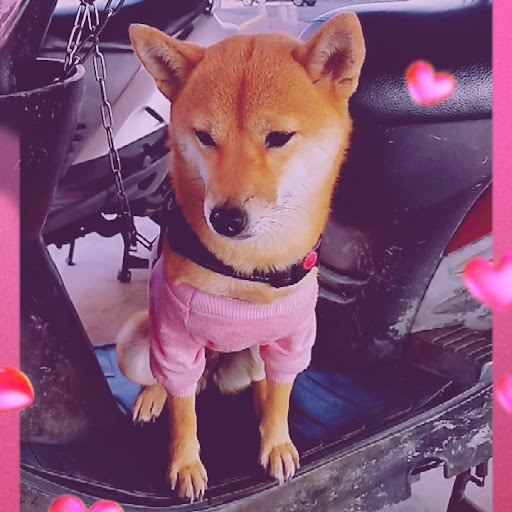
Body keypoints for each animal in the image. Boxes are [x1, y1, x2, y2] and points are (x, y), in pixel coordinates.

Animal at [116, 14, 365, 503]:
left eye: (279, 138)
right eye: (205, 137)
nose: (226, 218)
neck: (248, 269)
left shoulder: (294, 337)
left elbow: (284, 394)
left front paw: (277, 440)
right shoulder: (174, 341)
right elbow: (184, 414)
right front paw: (184, 463)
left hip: (256, 354)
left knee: (263, 382)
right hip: (137, 342)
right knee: (168, 381)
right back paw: (153, 396)